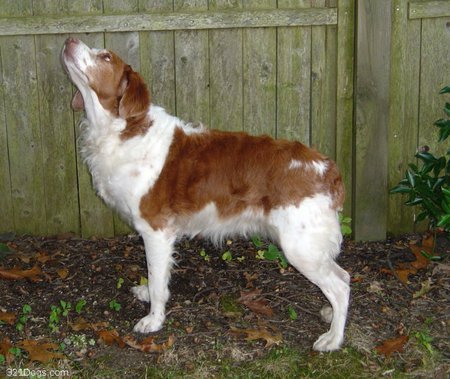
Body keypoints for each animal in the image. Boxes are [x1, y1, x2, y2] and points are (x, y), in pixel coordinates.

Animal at [61, 37, 350, 352]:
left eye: (105, 57)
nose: (69, 39)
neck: (124, 128)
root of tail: (327, 168)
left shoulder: (155, 229)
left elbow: (157, 280)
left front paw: (154, 319)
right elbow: (155, 277)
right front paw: (146, 292)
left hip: (299, 247)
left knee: (341, 285)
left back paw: (333, 338)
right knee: (342, 275)